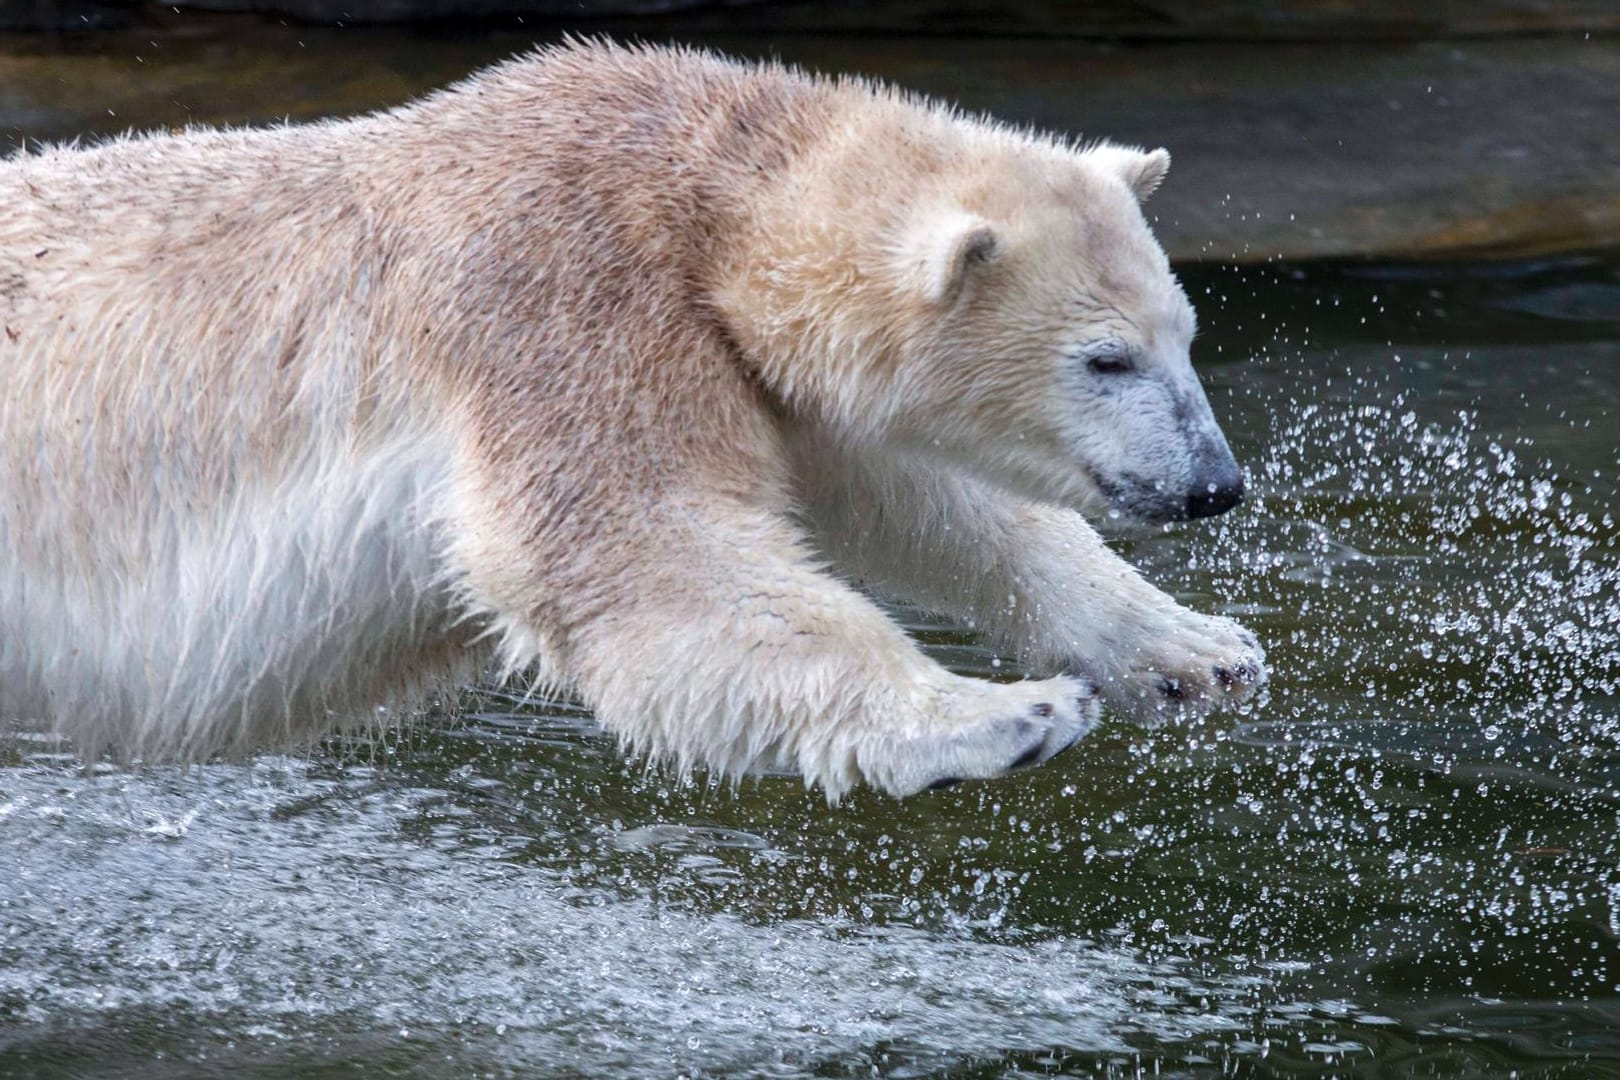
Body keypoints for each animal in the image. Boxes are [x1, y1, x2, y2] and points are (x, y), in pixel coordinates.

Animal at [0, 40, 1263, 803]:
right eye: (1105, 359)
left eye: (1185, 334)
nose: (1215, 484)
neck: (701, 190)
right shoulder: (561, 302)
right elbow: (645, 559)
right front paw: (1005, 714)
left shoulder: (758, 373)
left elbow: (937, 505)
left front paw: (1195, 648)